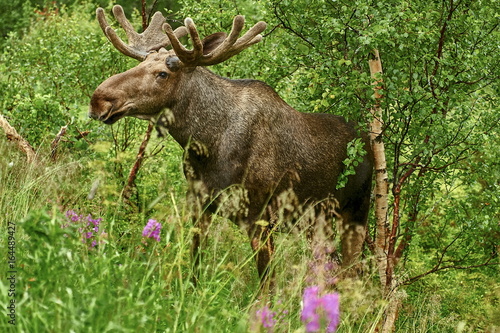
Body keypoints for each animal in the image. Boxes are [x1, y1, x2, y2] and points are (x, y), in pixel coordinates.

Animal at [89, 4, 372, 286]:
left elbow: (267, 283)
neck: (205, 144)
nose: (98, 100)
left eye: (162, 74)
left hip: (355, 213)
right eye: (142, 63)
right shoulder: (199, 204)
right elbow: (195, 264)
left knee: (351, 271)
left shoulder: (260, 217)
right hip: (317, 222)